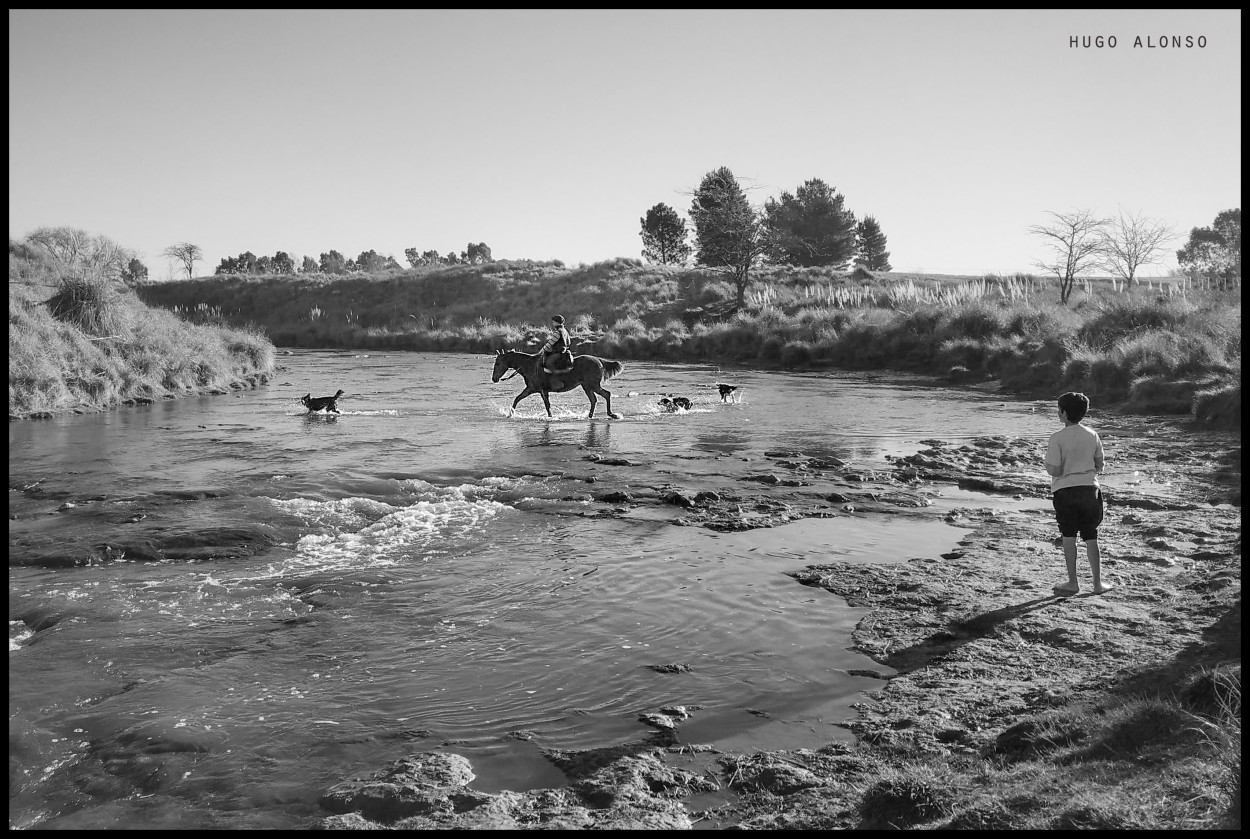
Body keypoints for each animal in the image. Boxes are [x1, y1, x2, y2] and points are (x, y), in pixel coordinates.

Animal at [490, 345, 622, 417]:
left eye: (498, 363)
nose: (494, 379)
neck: (529, 366)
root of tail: (599, 361)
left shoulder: (541, 391)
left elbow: (547, 406)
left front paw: (550, 417)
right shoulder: (531, 389)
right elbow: (517, 399)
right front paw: (510, 414)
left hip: (592, 385)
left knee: (606, 394)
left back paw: (612, 414)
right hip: (587, 387)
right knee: (594, 400)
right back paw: (590, 416)